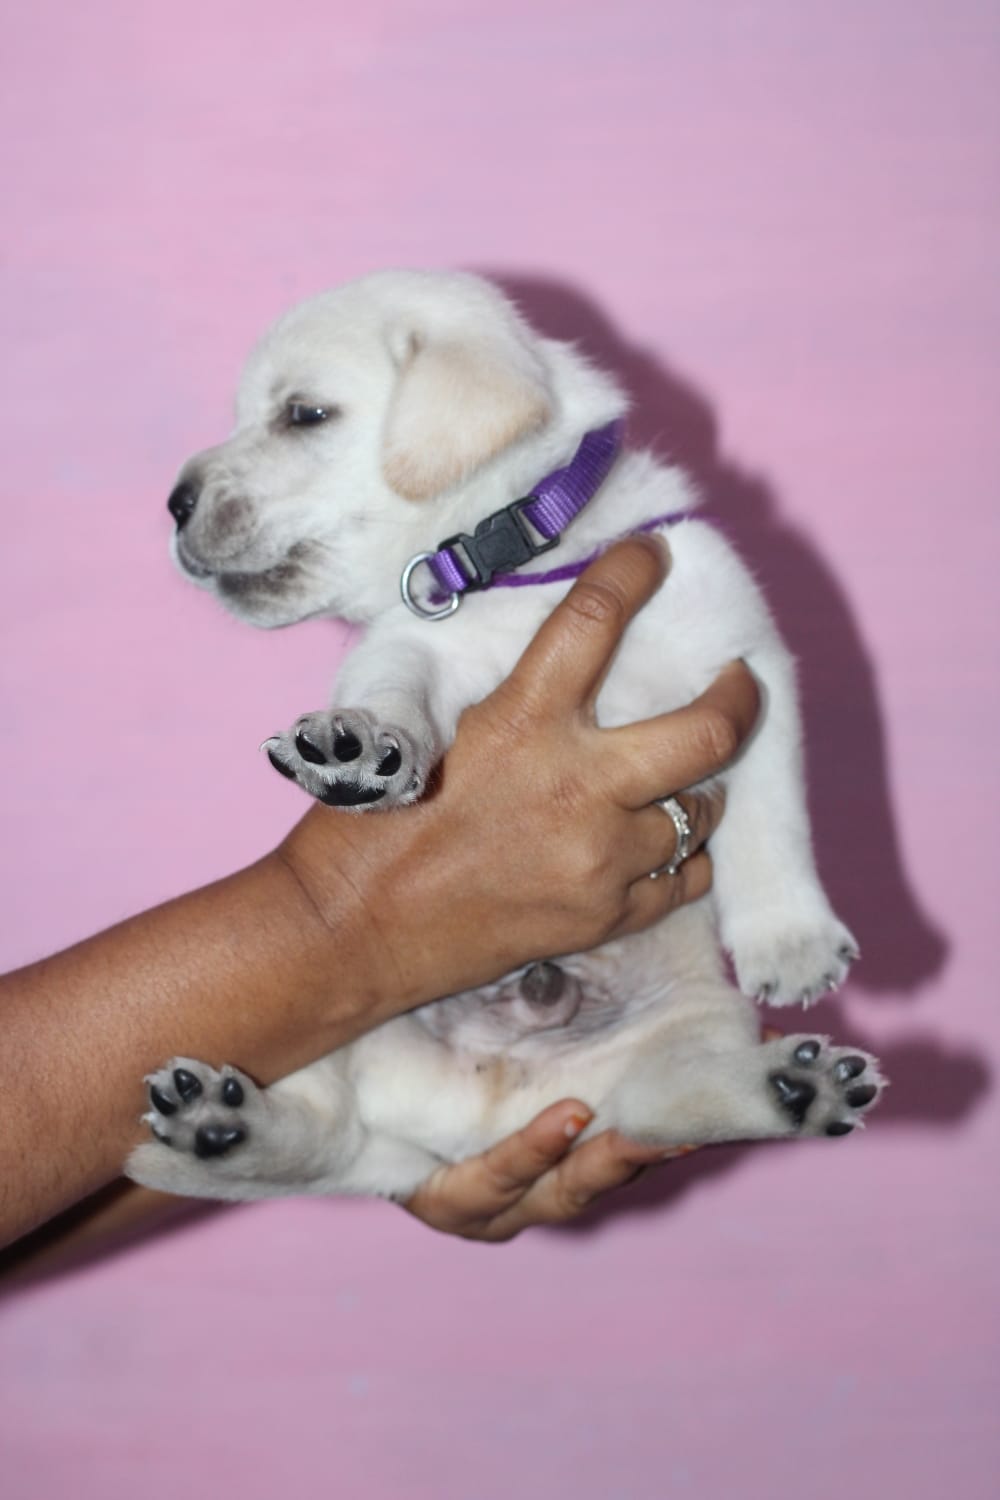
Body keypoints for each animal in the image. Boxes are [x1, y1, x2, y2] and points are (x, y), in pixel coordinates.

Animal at [125, 273, 881, 1206]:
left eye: (304, 415)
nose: (174, 502)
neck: (518, 565)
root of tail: (478, 1113)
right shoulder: (413, 648)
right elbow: (391, 685)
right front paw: (352, 744)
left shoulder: (744, 672)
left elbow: (770, 822)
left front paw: (792, 940)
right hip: (315, 1011)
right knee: (321, 1137)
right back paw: (220, 1131)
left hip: (682, 1040)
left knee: (683, 1100)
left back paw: (797, 1089)